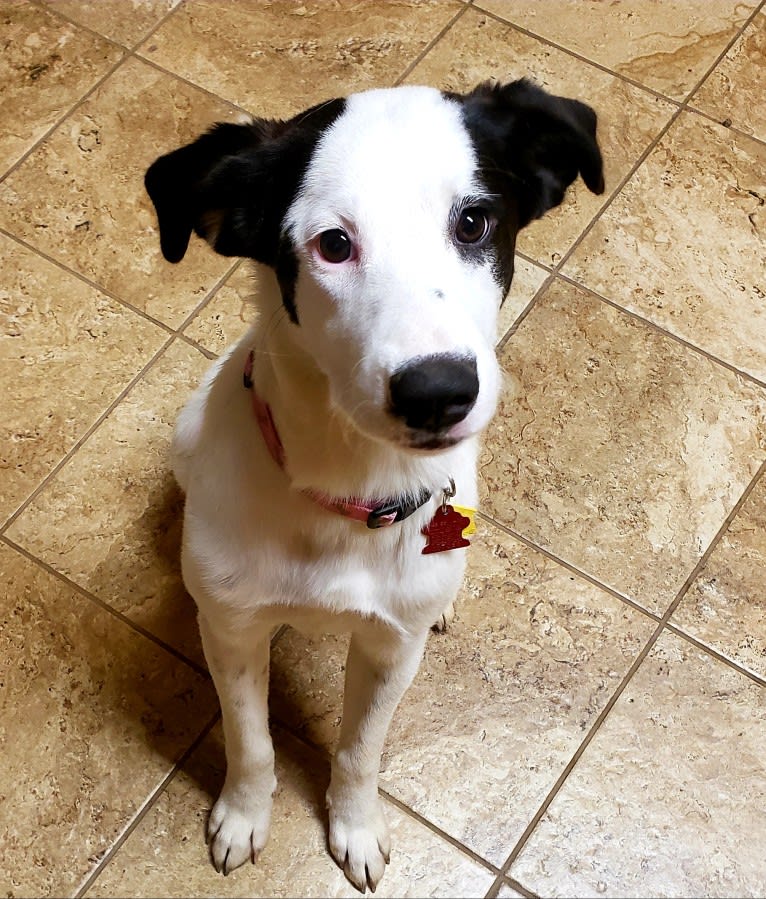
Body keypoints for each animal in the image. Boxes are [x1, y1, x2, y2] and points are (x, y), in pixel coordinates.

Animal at [146, 77, 608, 892]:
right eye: (333, 243)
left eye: (473, 221)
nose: (437, 391)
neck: (348, 489)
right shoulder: (233, 630)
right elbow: (250, 738)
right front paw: (243, 815)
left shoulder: (392, 647)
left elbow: (360, 749)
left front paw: (355, 827)